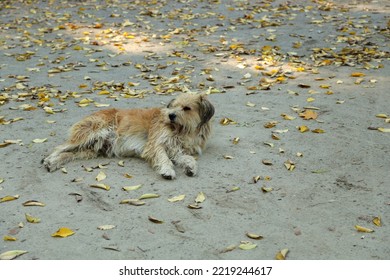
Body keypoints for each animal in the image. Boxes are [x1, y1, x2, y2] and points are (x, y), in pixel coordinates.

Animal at [41, 92, 215, 179]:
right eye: (174, 106)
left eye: (186, 108)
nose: (170, 115)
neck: (183, 130)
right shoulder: (155, 144)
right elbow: (164, 158)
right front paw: (167, 170)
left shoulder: (177, 149)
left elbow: (188, 158)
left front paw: (191, 167)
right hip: (92, 132)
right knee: (60, 147)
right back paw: (49, 159)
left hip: (90, 150)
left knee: (69, 154)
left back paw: (53, 163)